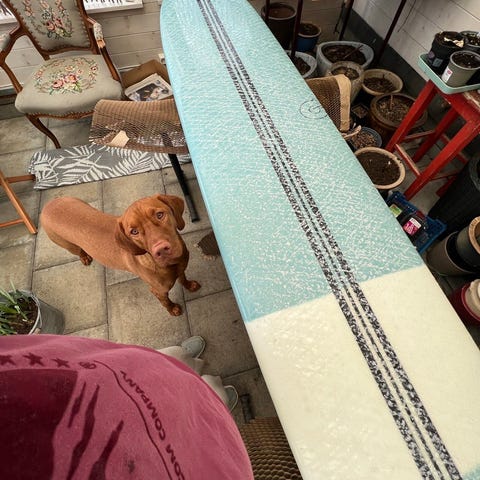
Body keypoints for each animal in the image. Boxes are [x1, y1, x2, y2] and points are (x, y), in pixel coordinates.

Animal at [40, 194, 200, 316]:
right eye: (134, 231)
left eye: (159, 215)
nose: (161, 250)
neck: (171, 265)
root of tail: (47, 205)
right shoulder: (158, 291)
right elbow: (166, 302)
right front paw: (173, 309)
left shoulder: (180, 269)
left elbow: (183, 278)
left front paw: (189, 285)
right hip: (67, 245)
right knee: (78, 250)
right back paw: (84, 256)